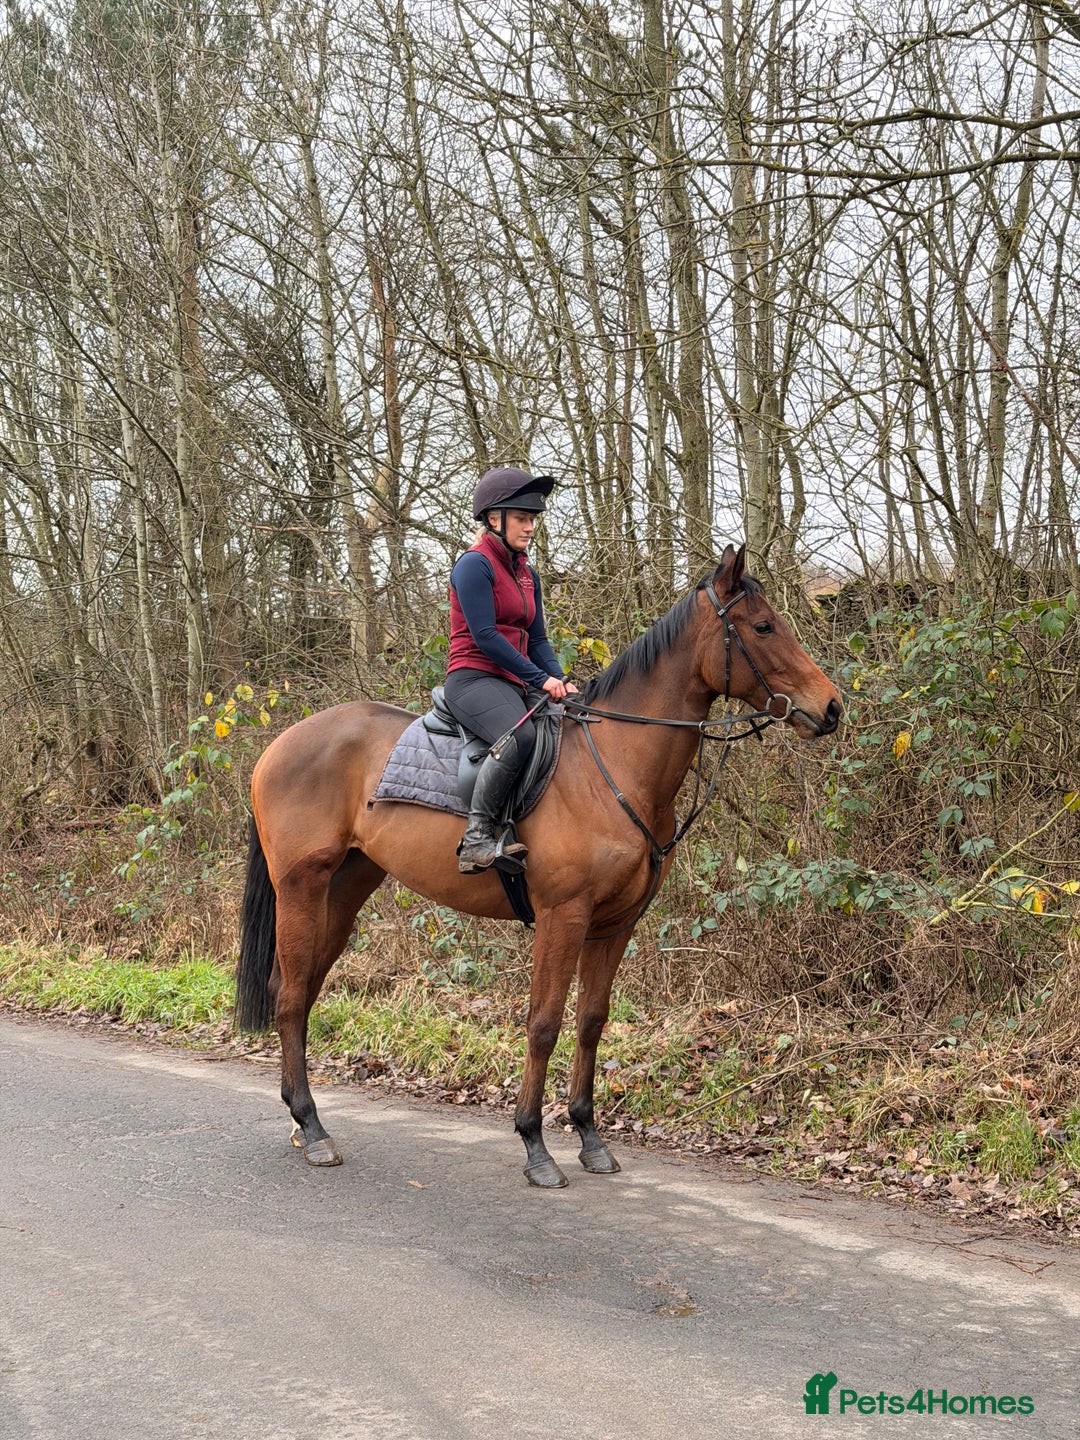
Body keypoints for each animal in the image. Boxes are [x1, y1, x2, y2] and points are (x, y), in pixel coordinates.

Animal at [235, 544, 842, 1187]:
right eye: (763, 626)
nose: (831, 708)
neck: (615, 765)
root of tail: (281, 744)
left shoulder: (614, 925)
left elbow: (591, 1021)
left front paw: (590, 1136)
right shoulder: (563, 916)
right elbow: (545, 1022)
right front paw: (535, 1143)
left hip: (344, 892)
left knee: (299, 991)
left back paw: (301, 1120)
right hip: (301, 889)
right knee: (290, 997)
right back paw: (313, 1128)